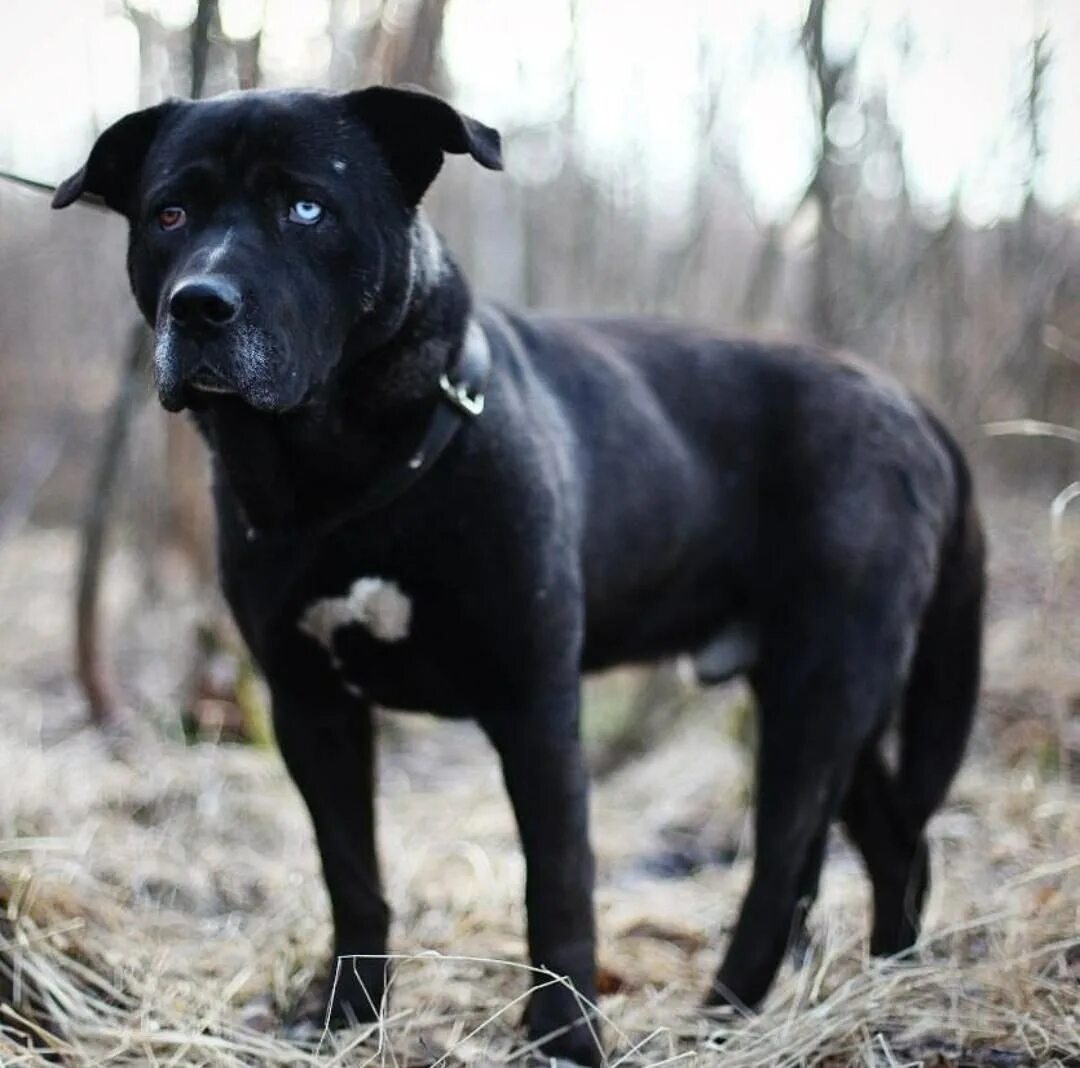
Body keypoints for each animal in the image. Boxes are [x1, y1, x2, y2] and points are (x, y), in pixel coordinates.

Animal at [56, 87, 989, 1062]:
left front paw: (567, 1038)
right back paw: (884, 988)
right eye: (170, 214)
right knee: (893, 843)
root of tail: (912, 406)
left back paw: (731, 1012)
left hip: (823, 689)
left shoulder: (535, 703)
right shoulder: (310, 704)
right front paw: (349, 1019)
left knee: (783, 862)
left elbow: (559, 884)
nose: (199, 305)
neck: (341, 470)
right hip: (833, 696)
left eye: (306, 208)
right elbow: (352, 876)